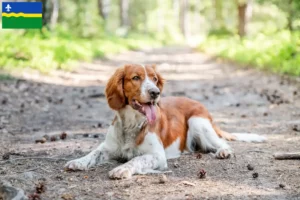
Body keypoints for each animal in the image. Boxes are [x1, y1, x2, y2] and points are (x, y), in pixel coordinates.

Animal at [64, 64, 266, 180]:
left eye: (154, 79)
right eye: (135, 78)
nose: (155, 92)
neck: (132, 124)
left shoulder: (157, 155)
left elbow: (136, 159)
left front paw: (122, 169)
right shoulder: (108, 147)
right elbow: (93, 153)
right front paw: (78, 162)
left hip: (197, 122)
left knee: (222, 143)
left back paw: (224, 152)